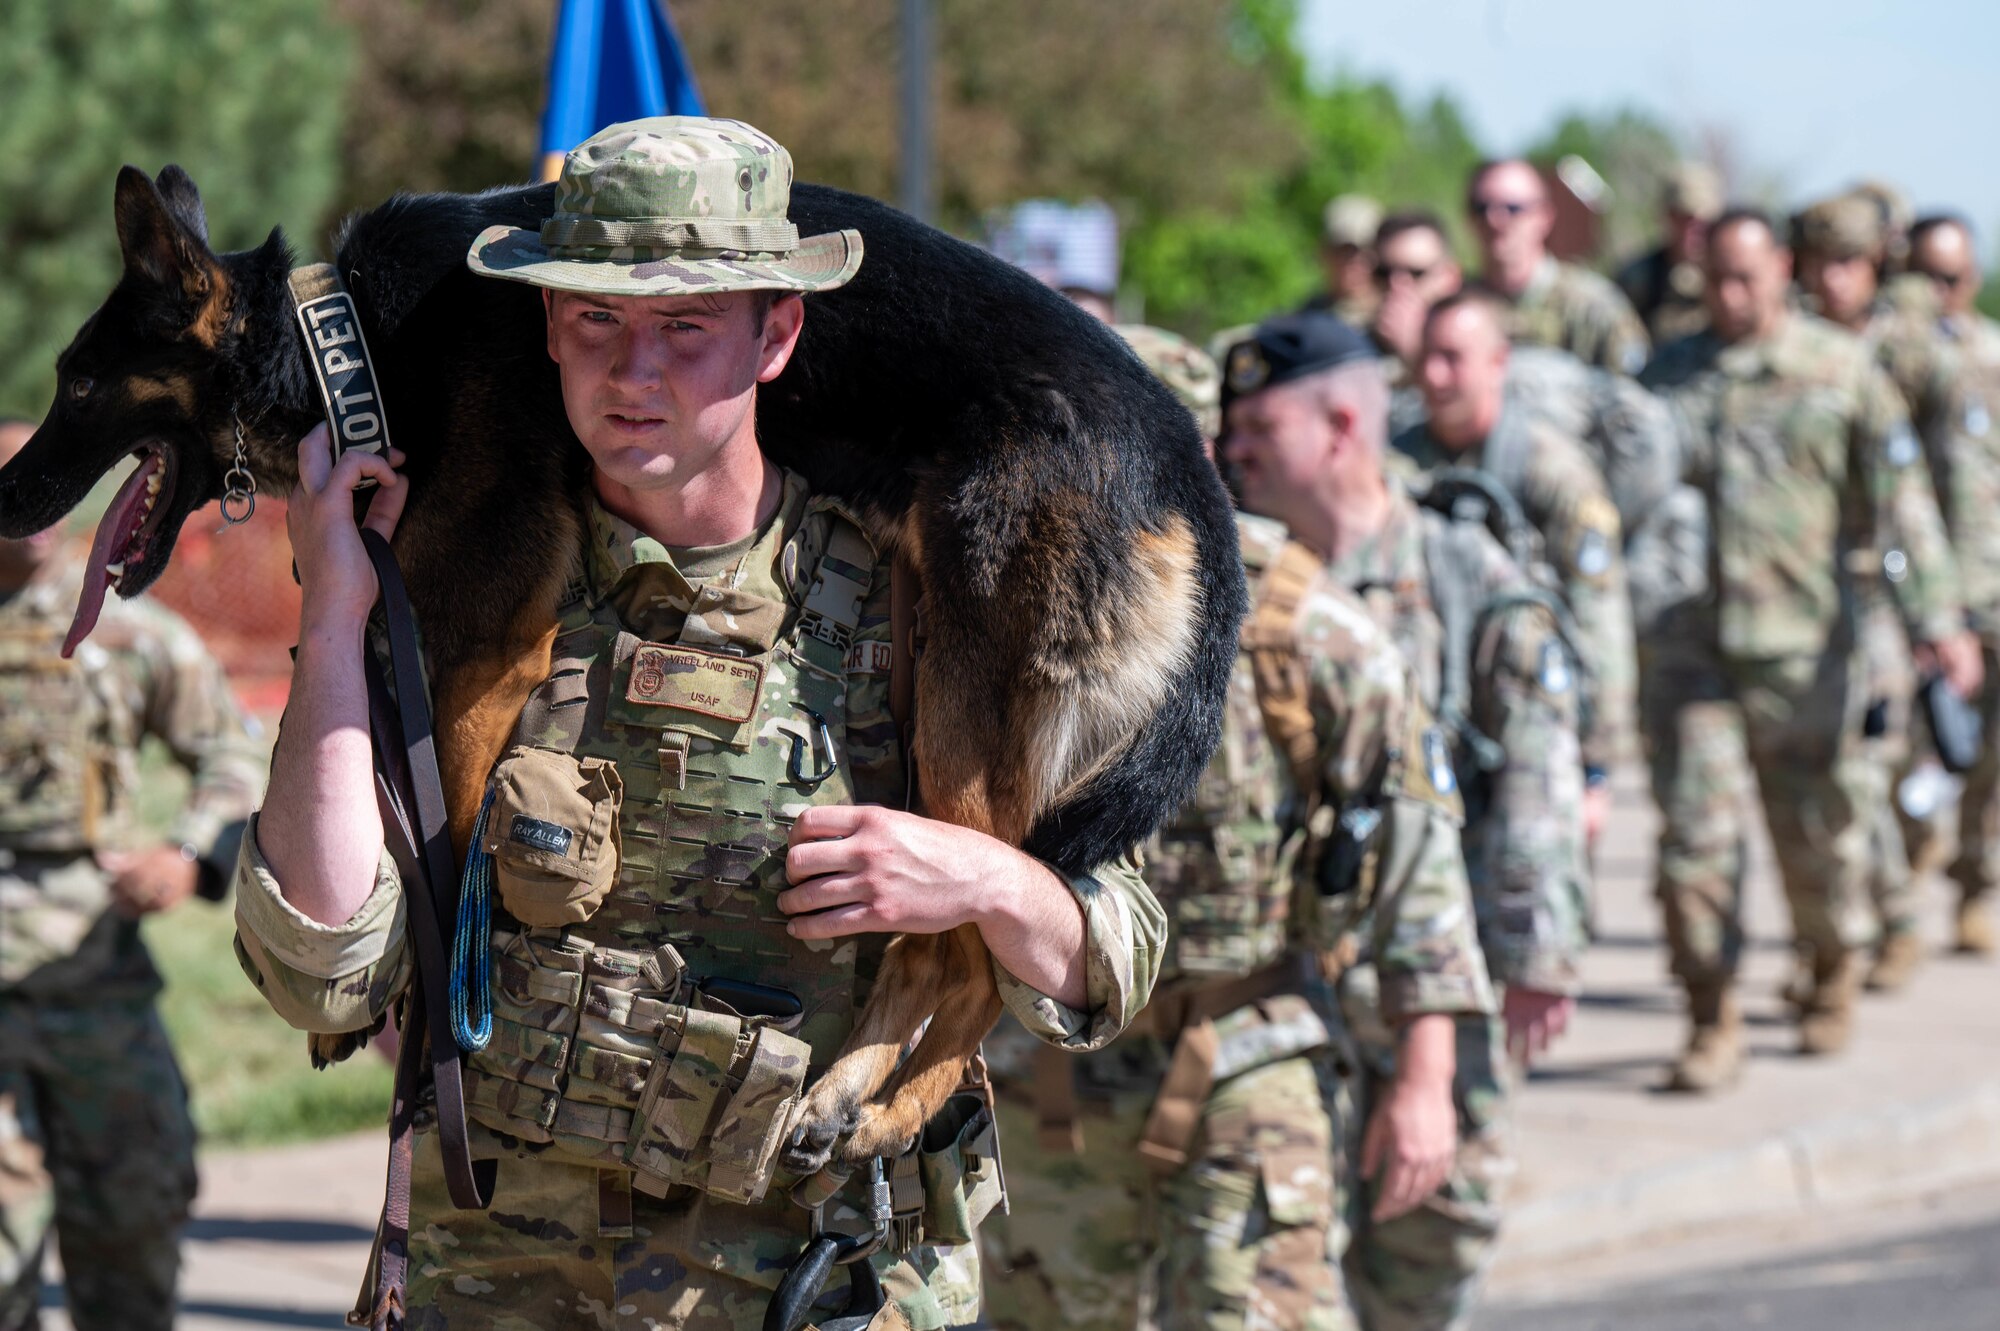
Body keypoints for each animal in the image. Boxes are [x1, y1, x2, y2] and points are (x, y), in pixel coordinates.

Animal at [0, 170, 1240, 1167]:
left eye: (73, 383)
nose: (5, 497)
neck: (346, 340)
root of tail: (1188, 459)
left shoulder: (486, 643)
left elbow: (447, 821)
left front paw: (424, 1017)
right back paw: (855, 1096)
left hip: (964, 718)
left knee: (976, 942)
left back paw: (877, 1107)